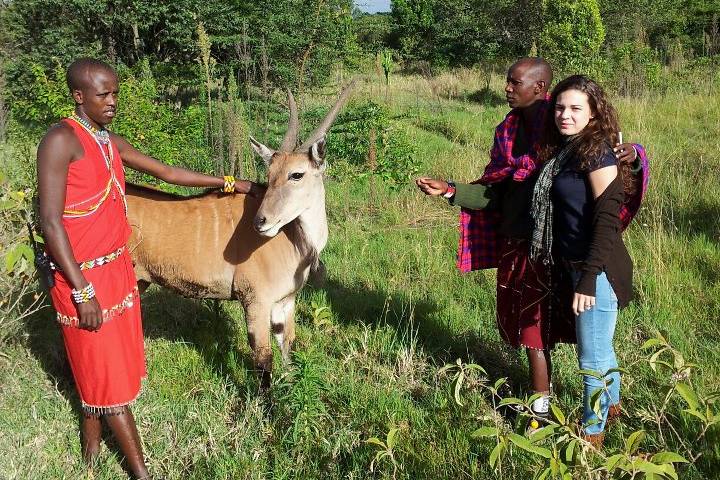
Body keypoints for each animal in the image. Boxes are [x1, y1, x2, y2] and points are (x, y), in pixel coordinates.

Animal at [129, 84, 354, 386]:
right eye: (268, 175)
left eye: (296, 174)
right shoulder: (255, 301)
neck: (295, 240)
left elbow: (287, 345)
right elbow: (263, 358)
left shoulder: (285, 302)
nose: (261, 221)